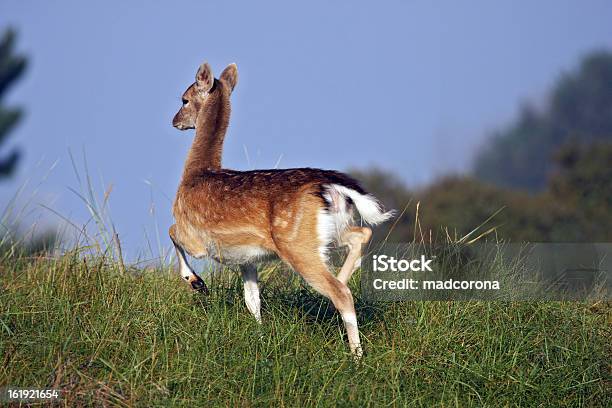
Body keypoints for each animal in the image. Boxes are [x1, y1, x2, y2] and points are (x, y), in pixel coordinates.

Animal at [170, 60, 394, 356]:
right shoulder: (247, 258)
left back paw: (356, 354)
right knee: (362, 235)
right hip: (329, 232)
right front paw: (261, 337)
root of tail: (331, 186)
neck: (195, 174)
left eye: (184, 99)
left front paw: (196, 282)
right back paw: (344, 277)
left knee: (341, 293)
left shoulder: (196, 236)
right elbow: (252, 299)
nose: (174, 121)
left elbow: (172, 232)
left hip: (297, 244)